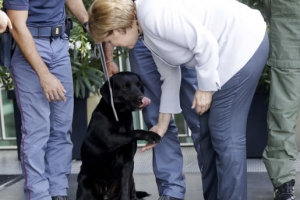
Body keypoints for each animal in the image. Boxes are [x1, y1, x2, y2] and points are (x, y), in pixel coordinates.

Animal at [76, 71, 163, 199]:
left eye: (139, 85)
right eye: (125, 87)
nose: (142, 98)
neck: (120, 115)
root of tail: (106, 193)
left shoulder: (128, 162)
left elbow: (125, 187)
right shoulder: (110, 138)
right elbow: (134, 131)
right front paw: (151, 134)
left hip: (131, 179)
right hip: (85, 182)